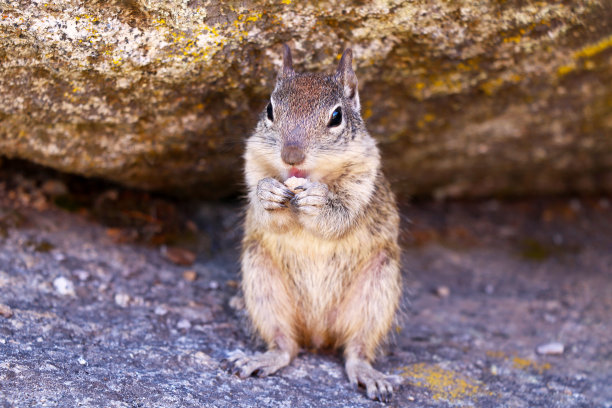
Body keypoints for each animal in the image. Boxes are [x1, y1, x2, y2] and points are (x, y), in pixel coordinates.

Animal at [230, 45, 402, 402]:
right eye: (269, 109)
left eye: (336, 117)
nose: (291, 156)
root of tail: (319, 334)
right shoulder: (253, 163)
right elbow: (263, 204)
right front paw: (268, 192)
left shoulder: (363, 181)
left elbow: (341, 215)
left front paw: (318, 200)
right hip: (262, 281)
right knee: (286, 345)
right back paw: (261, 358)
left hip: (376, 291)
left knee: (356, 349)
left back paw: (368, 374)